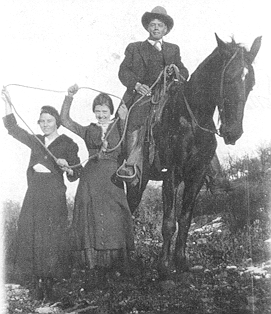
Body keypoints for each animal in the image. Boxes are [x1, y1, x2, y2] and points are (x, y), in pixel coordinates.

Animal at [126, 33, 262, 280]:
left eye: (251, 83)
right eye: (228, 78)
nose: (233, 132)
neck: (190, 119)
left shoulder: (196, 176)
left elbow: (186, 219)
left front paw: (181, 262)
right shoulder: (171, 173)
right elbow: (169, 222)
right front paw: (164, 267)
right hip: (134, 180)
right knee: (128, 209)